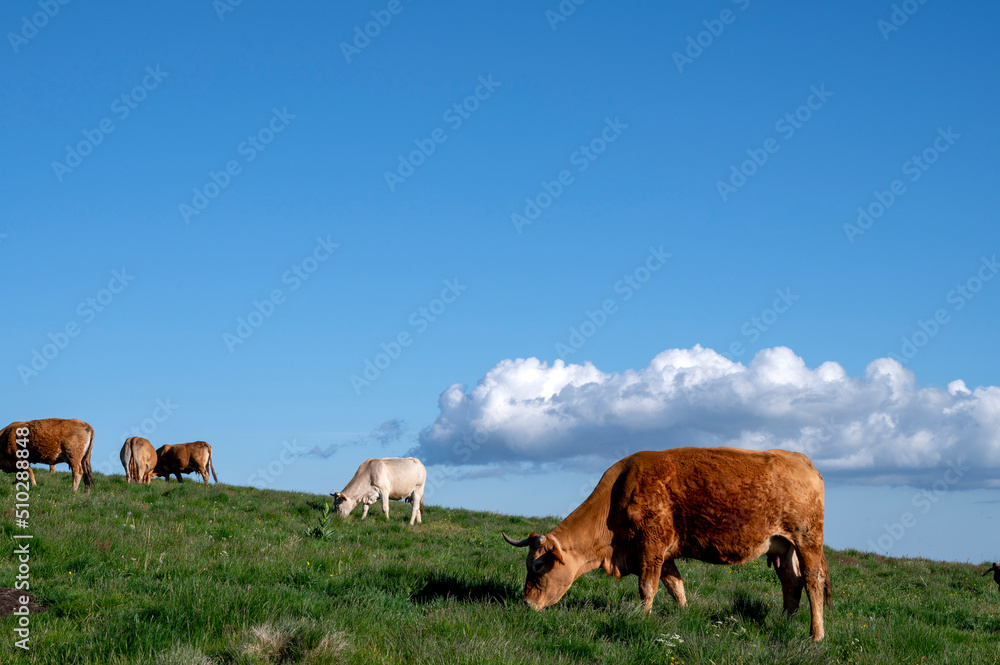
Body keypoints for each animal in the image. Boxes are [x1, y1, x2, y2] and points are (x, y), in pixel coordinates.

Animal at [504, 448, 832, 640]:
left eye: (538, 565)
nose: (526, 603)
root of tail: (803, 461)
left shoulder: (651, 546)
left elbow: (647, 587)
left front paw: (641, 619)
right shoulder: (664, 552)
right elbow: (676, 585)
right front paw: (685, 615)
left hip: (807, 540)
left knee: (812, 582)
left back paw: (816, 635)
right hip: (782, 546)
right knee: (791, 583)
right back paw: (785, 623)